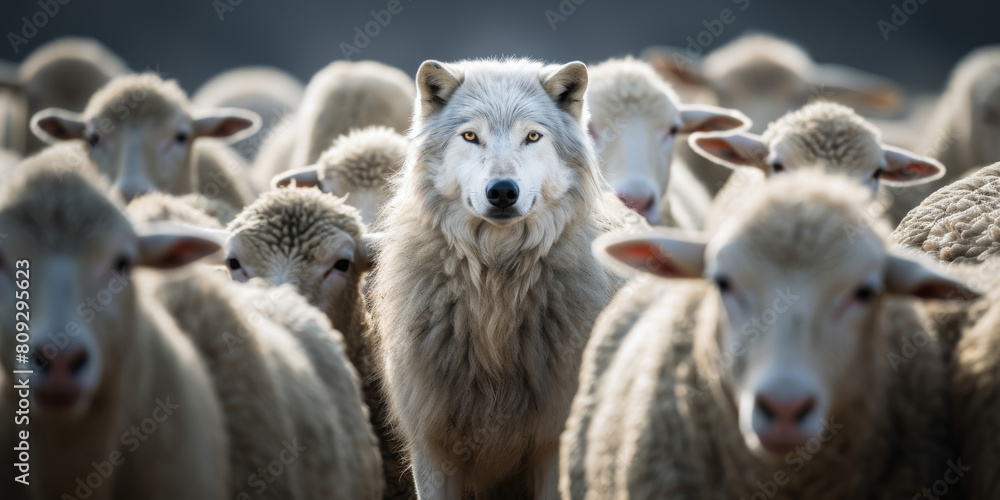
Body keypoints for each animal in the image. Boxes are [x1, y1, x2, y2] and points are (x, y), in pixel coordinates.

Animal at [367, 58, 635, 499]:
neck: (496, 285)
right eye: (471, 136)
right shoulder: (432, 449)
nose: (503, 191)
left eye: (532, 136)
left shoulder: (552, 446)